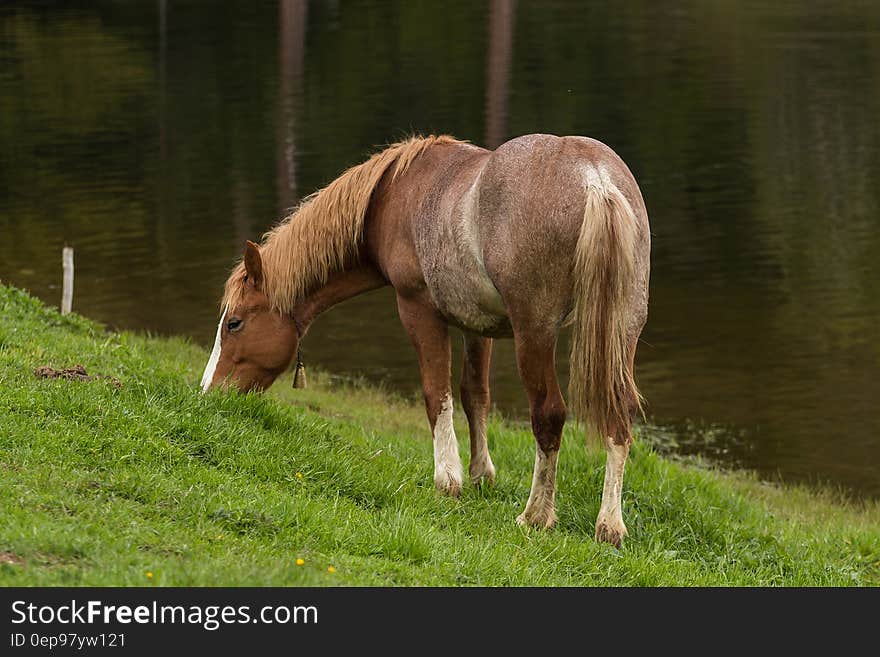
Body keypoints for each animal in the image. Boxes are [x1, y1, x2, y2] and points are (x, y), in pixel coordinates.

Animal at [203, 132, 648, 544]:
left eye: (234, 323)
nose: (209, 393)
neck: (390, 196)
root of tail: (595, 179)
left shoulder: (418, 310)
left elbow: (437, 395)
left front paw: (447, 479)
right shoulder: (477, 326)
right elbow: (474, 396)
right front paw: (481, 474)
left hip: (534, 333)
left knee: (548, 414)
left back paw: (536, 515)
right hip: (622, 330)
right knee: (619, 414)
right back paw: (610, 526)